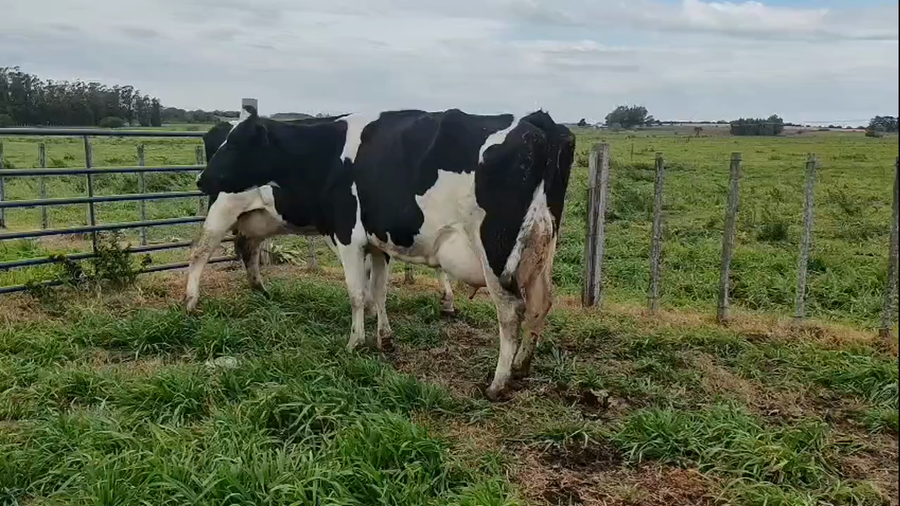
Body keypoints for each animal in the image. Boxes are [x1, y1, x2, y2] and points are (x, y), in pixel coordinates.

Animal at [184, 119, 460, 316]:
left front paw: (447, 301)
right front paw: (371, 307)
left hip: (259, 218)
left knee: (246, 248)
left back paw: (261, 289)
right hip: (222, 208)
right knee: (200, 250)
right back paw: (190, 301)